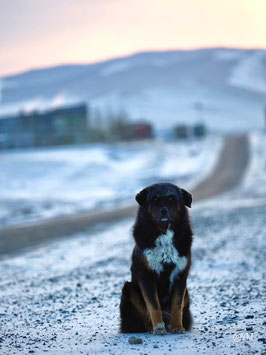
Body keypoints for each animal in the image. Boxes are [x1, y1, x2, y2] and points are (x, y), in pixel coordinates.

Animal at [120, 182, 193, 336]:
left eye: (172, 198)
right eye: (154, 199)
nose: (163, 211)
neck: (164, 234)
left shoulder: (180, 274)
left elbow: (177, 305)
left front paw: (177, 327)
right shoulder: (146, 275)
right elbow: (153, 305)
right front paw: (159, 327)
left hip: (187, 293)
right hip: (129, 288)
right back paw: (151, 328)